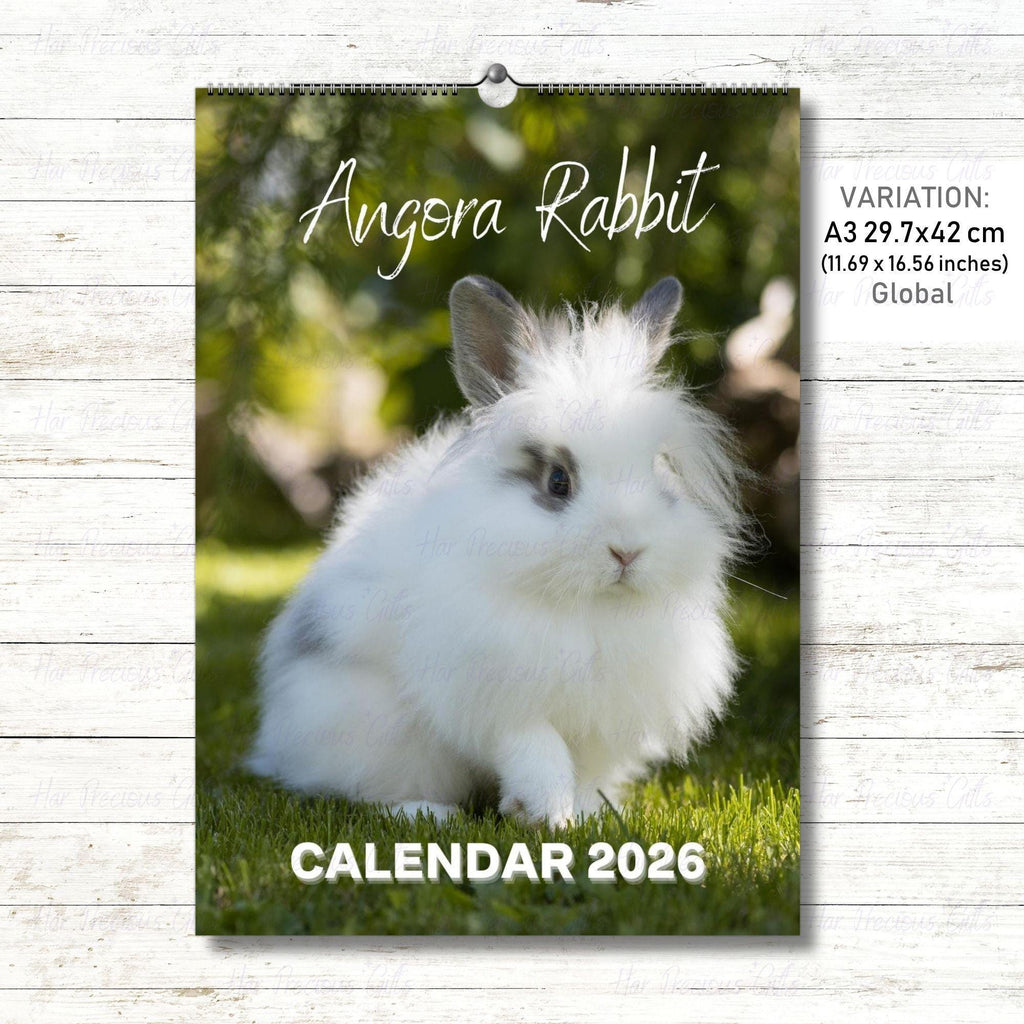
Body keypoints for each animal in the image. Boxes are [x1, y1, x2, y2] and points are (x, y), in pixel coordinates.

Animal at [247, 275, 747, 827]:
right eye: (558, 481)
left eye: (659, 471)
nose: (627, 551)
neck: (588, 608)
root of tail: (279, 746)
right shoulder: (500, 698)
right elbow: (538, 753)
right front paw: (548, 815)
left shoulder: (601, 714)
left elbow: (585, 769)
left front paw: (589, 815)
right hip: (375, 732)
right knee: (357, 792)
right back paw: (430, 814)